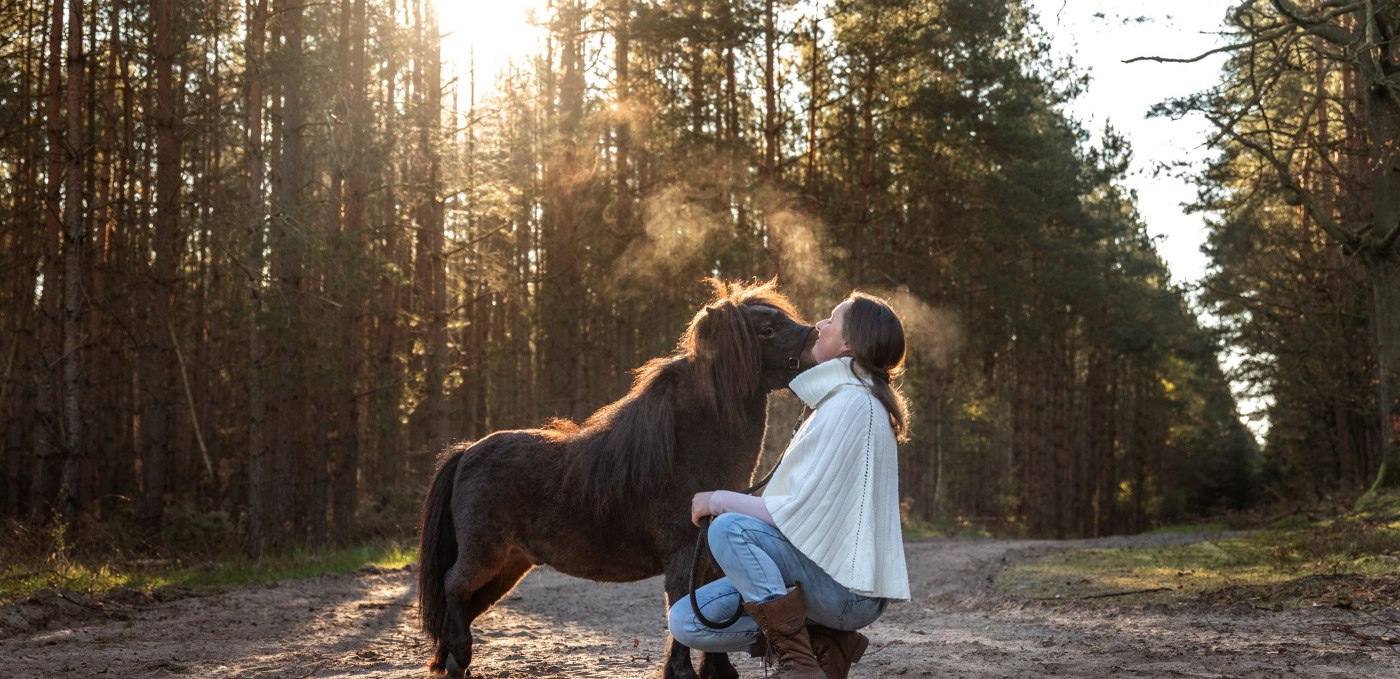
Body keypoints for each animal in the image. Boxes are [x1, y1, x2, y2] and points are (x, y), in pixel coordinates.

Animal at [414, 278, 817, 674]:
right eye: (768, 329)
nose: (816, 338)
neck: (688, 452)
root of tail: (467, 451)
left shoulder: (710, 558)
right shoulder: (683, 555)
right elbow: (682, 611)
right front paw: (681, 671)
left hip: (510, 565)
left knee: (468, 602)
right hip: (484, 556)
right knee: (453, 587)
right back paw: (458, 657)